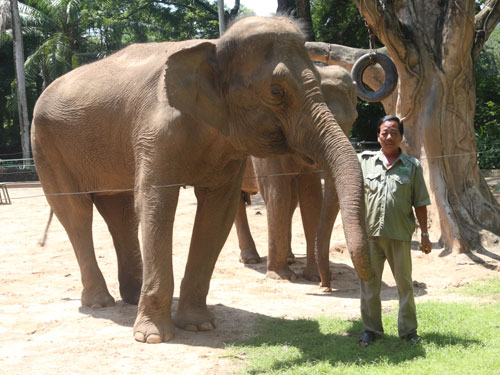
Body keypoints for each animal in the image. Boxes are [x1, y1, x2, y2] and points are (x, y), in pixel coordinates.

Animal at [235, 65, 360, 282]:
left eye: (354, 119)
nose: (326, 284)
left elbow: (312, 196)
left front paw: (313, 277)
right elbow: (277, 192)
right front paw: (282, 277)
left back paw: (290, 258)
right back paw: (251, 259)